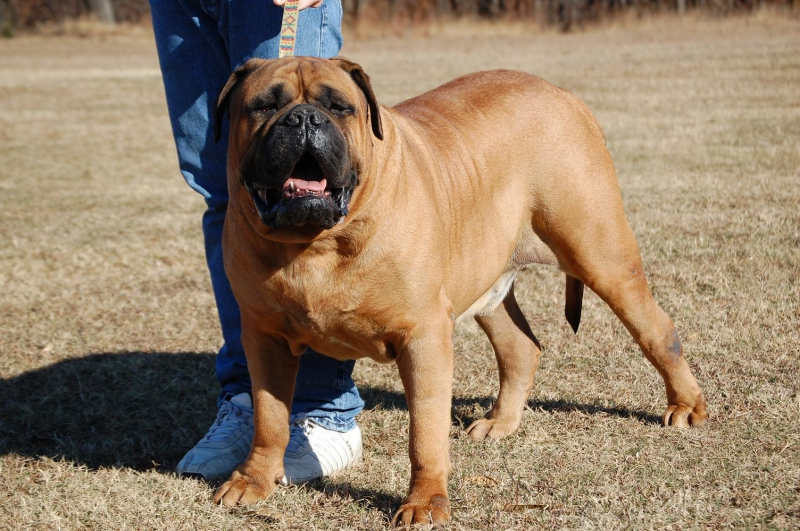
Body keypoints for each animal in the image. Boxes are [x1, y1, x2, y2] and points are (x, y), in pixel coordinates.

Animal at [211, 57, 708, 524]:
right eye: (263, 107)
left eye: (339, 107)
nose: (304, 120)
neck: (315, 245)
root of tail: (563, 94)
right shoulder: (264, 337)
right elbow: (269, 417)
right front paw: (253, 480)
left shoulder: (424, 336)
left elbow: (425, 432)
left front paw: (425, 503)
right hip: (488, 283)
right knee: (521, 347)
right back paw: (500, 422)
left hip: (601, 255)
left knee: (658, 330)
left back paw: (686, 406)